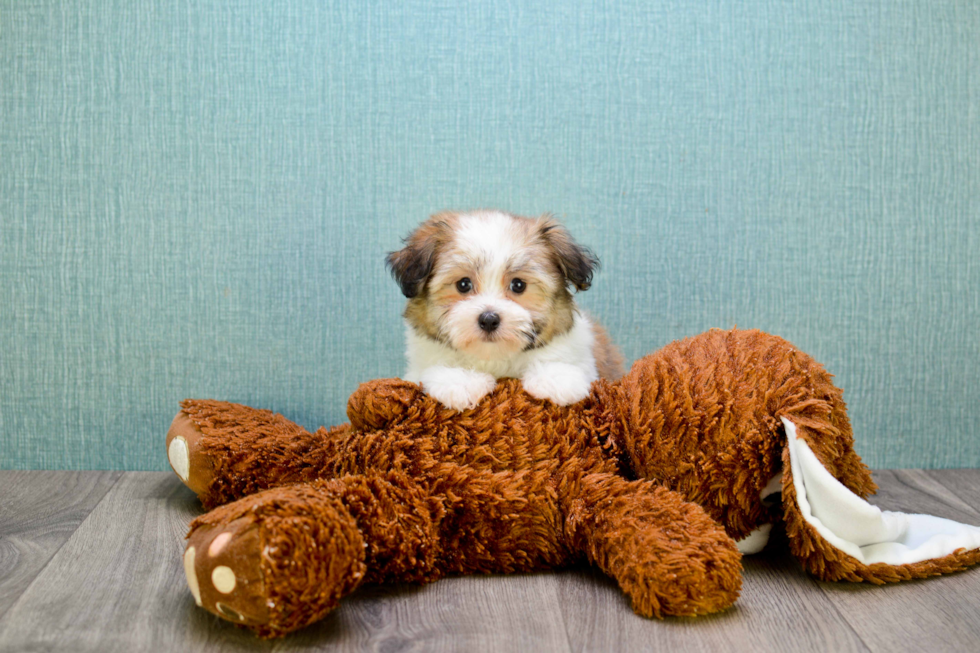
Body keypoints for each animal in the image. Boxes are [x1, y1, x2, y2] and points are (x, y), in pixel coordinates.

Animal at [386, 209, 624, 410]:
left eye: (518, 285)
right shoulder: (417, 369)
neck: (495, 358)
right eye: (463, 284)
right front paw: (460, 381)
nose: (489, 319)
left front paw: (555, 378)